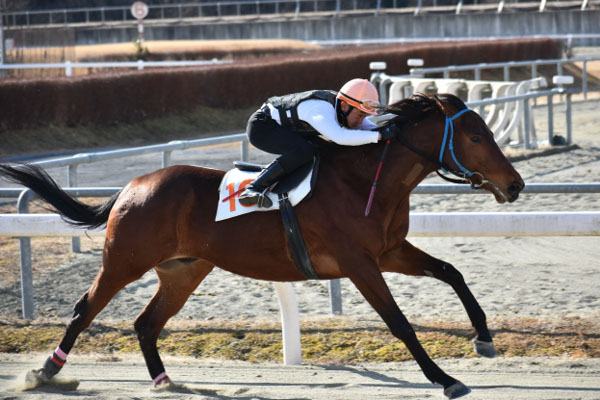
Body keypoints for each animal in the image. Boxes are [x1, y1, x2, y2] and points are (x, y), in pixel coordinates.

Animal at [0, 93, 524, 399]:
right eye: (476, 136)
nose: (515, 185)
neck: (363, 181)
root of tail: (132, 186)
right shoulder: (359, 263)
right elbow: (399, 322)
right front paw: (445, 379)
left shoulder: (390, 252)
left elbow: (452, 272)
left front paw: (484, 338)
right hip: (124, 262)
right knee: (84, 309)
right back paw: (45, 372)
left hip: (184, 270)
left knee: (146, 323)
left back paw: (165, 381)